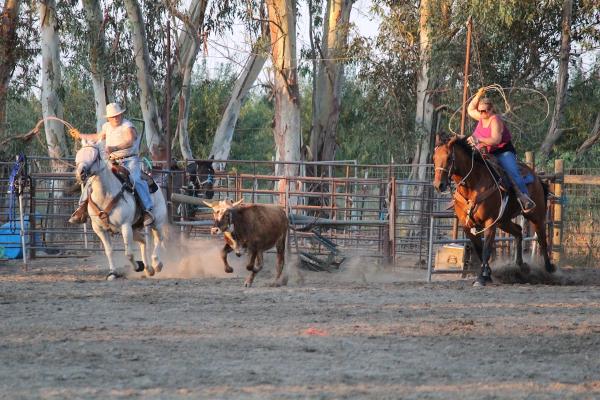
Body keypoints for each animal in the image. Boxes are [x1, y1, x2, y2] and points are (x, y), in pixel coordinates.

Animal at [76, 145, 169, 280]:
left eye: (94, 156)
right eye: (77, 156)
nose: (80, 173)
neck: (105, 195)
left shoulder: (125, 226)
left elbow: (129, 253)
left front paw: (138, 266)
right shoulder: (99, 229)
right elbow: (109, 251)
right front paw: (113, 273)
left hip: (157, 222)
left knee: (159, 239)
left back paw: (157, 264)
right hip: (134, 228)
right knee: (144, 241)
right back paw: (148, 269)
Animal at [432, 136, 552, 286]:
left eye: (449, 157)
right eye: (434, 158)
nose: (438, 185)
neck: (473, 185)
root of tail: (536, 177)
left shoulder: (489, 222)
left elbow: (486, 249)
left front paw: (481, 278)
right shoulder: (467, 225)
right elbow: (479, 249)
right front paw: (487, 273)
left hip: (536, 215)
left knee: (542, 239)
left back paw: (549, 268)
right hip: (503, 221)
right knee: (518, 231)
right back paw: (521, 265)